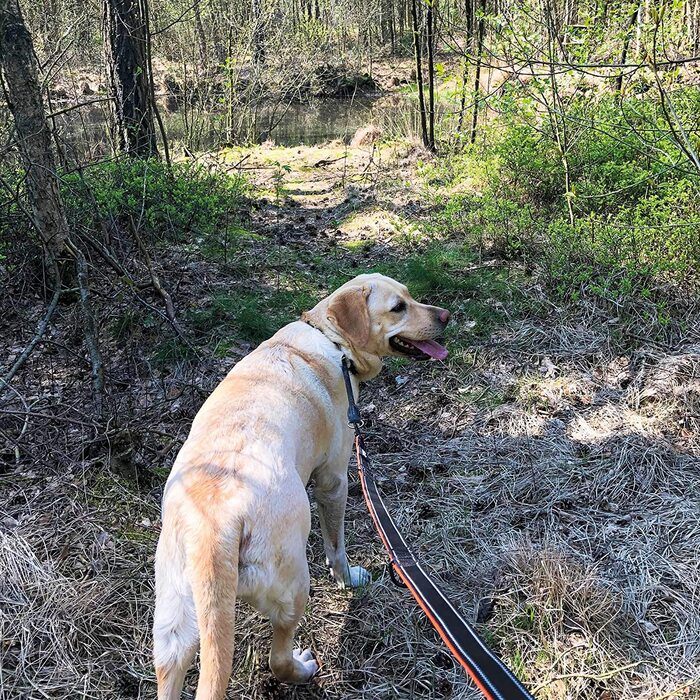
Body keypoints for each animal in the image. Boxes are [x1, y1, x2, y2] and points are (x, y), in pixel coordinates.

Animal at [152, 274, 448, 700]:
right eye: (398, 307)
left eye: (410, 296)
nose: (446, 315)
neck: (331, 339)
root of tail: (216, 526)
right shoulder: (334, 479)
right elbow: (336, 546)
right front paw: (348, 578)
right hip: (292, 587)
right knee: (277, 657)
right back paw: (303, 669)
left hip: (174, 622)